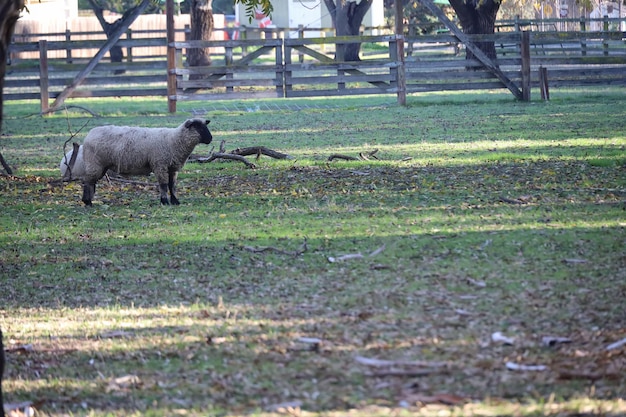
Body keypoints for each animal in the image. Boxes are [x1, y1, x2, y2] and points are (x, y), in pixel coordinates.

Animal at [80, 118, 212, 206]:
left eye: (205, 126)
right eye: (198, 127)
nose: (211, 138)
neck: (174, 140)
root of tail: (89, 135)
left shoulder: (173, 168)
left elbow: (172, 185)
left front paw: (175, 201)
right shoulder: (160, 165)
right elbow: (164, 185)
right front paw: (165, 201)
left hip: (100, 165)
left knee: (91, 182)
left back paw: (89, 201)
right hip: (94, 162)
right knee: (87, 182)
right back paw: (87, 202)